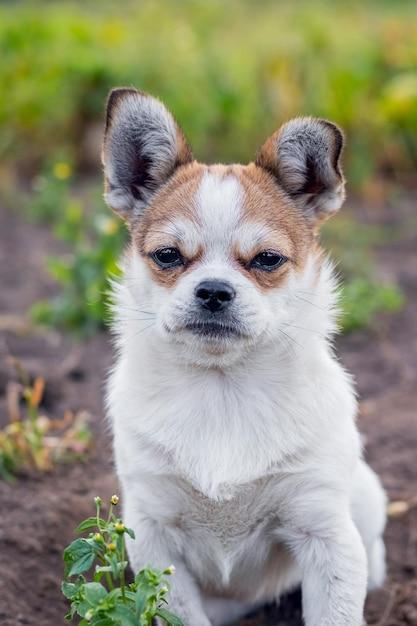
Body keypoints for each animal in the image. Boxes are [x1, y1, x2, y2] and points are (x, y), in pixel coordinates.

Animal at [102, 88, 386, 624]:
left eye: (267, 260)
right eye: (168, 256)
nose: (214, 290)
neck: (223, 388)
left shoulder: (325, 531)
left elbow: (336, 610)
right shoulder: (154, 538)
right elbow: (180, 612)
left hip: (363, 496)